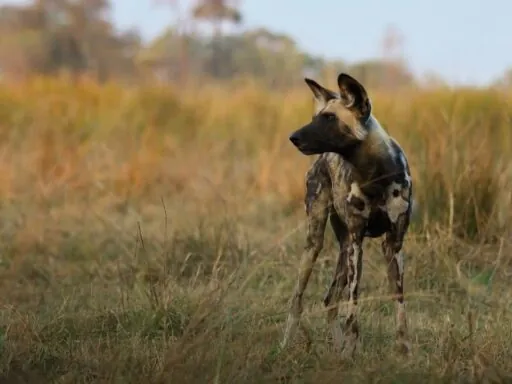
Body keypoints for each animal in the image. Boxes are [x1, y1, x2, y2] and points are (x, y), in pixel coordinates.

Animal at [280, 73, 412, 358]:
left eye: (330, 118)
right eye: (316, 117)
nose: (293, 137)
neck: (376, 175)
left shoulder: (393, 245)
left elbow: (399, 303)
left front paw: (404, 353)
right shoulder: (357, 241)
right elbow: (353, 304)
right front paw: (352, 350)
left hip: (343, 249)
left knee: (330, 300)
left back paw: (337, 348)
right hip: (317, 244)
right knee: (298, 300)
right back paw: (286, 346)